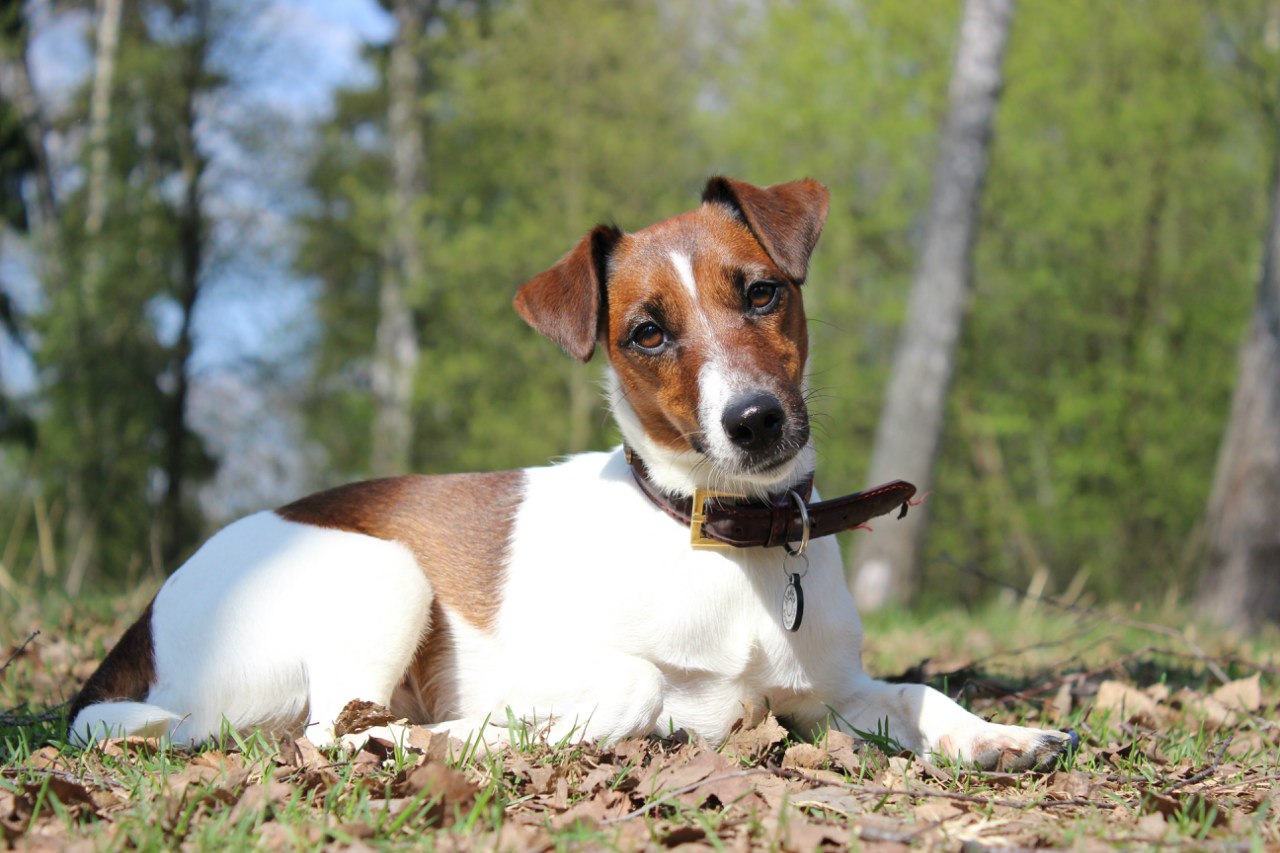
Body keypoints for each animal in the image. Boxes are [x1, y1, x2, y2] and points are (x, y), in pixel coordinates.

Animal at [67, 175, 1070, 768]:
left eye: (761, 292)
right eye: (647, 332)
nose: (754, 421)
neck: (723, 535)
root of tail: (138, 636)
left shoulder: (833, 695)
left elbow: (918, 691)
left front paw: (999, 733)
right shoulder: (577, 667)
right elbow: (633, 686)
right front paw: (478, 731)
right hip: (385, 572)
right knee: (329, 730)